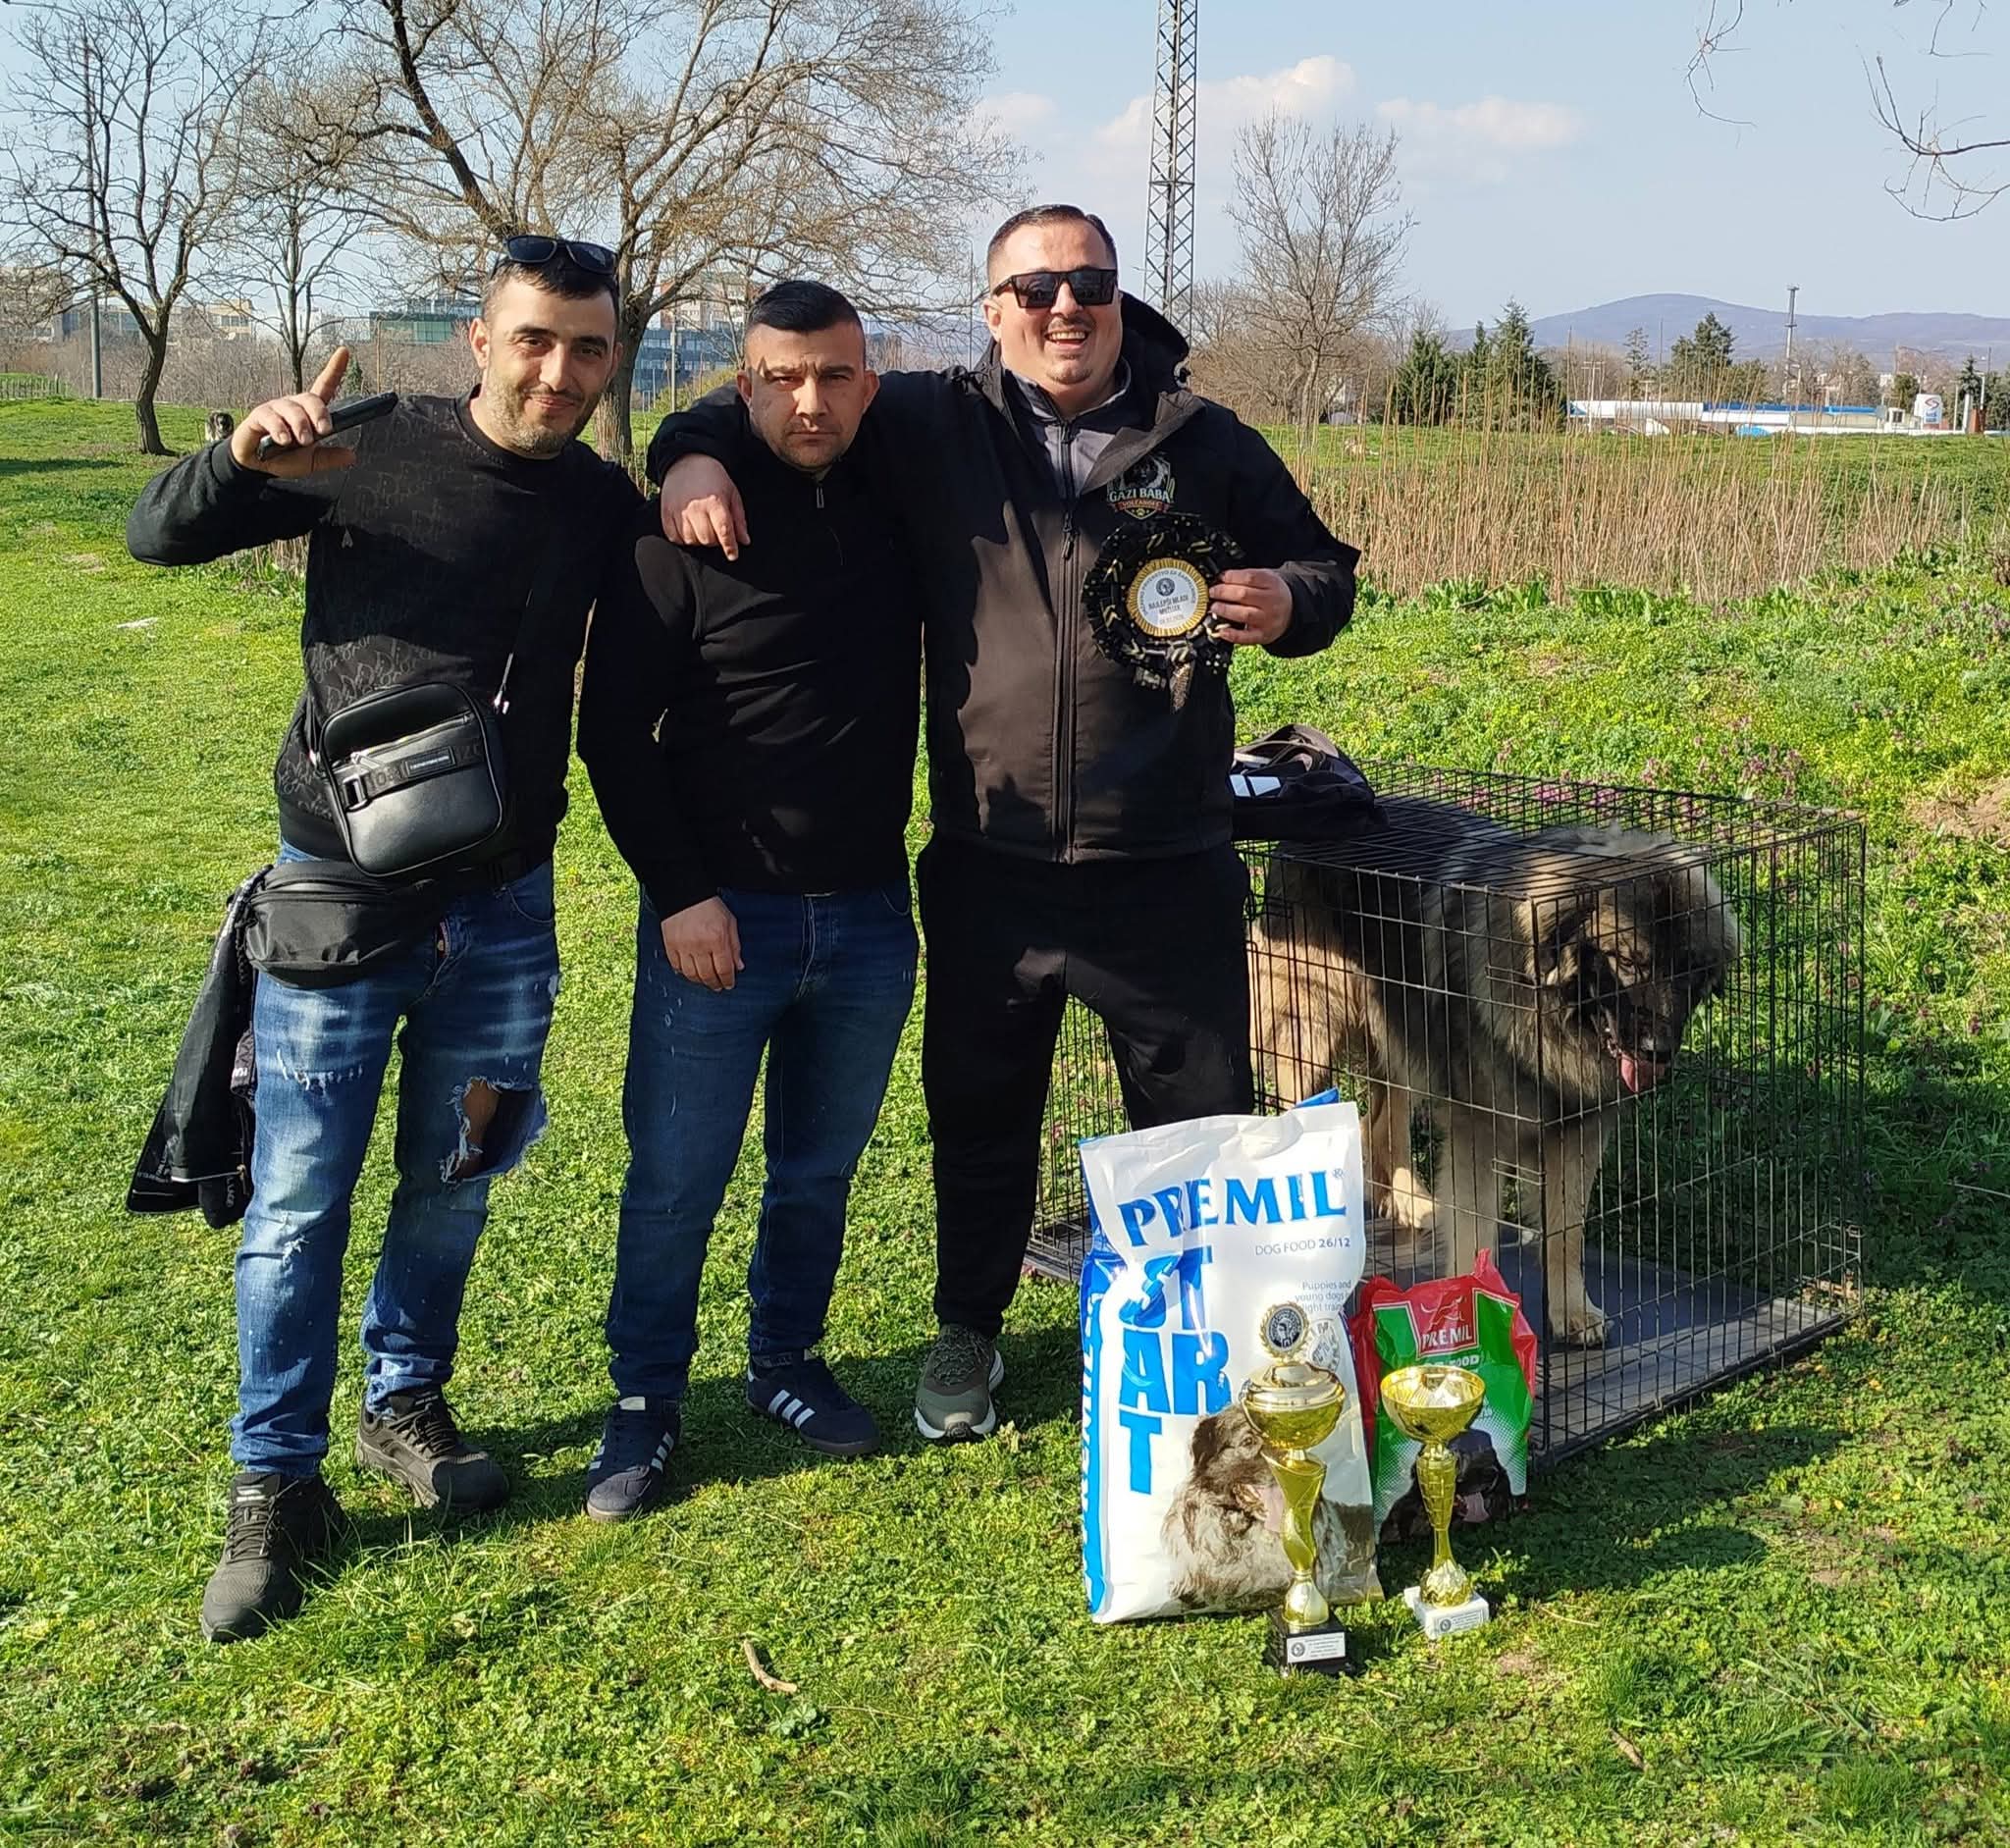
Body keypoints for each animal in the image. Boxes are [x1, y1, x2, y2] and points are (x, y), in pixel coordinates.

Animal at [1251, 795, 1741, 1346]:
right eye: (1629, 962)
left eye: (1689, 970)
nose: (1658, 1052)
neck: (1550, 1007)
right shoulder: (1478, 1127)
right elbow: (1477, 1228)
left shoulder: (1577, 1127)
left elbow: (1566, 1231)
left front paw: (1571, 1312)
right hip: (1312, 1036)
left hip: (1404, 1035)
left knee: (1382, 1122)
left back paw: (1412, 1201)